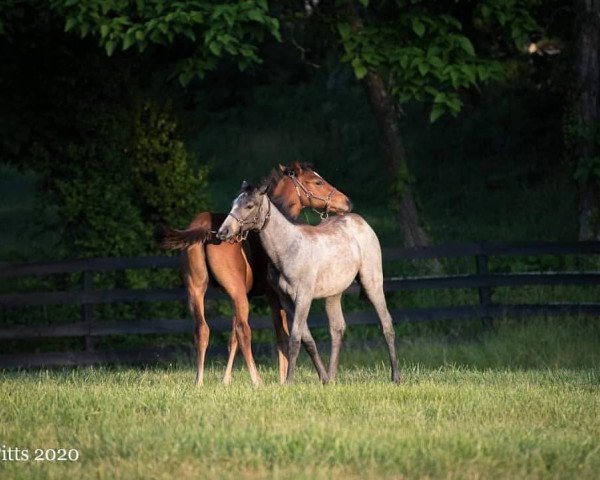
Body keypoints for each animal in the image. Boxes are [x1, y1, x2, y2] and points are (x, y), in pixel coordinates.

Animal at [156, 163, 352, 384]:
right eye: (318, 182)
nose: (346, 202)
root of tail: (203, 227)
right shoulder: (273, 295)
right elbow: (281, 335)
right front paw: (283, 379)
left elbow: (232, 337)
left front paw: (226, 381)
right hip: (236, 292)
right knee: (244, 330)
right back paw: (257, 381)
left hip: (196, 289)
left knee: (202, 329)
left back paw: (199, 381)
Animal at [218, 182, 400, 384]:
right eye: (234, 203)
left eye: (249, 205)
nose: (222, 232)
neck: (287, 250)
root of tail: (362, 222)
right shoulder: (286, 301)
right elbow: (308, 340)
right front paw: (324, 379)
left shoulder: (303, 297)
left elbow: (295, 338)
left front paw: (289, 381)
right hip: (333, 294)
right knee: (337, 329)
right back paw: (332, 378)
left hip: (372, 283)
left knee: (386, 324)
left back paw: (396, 377)